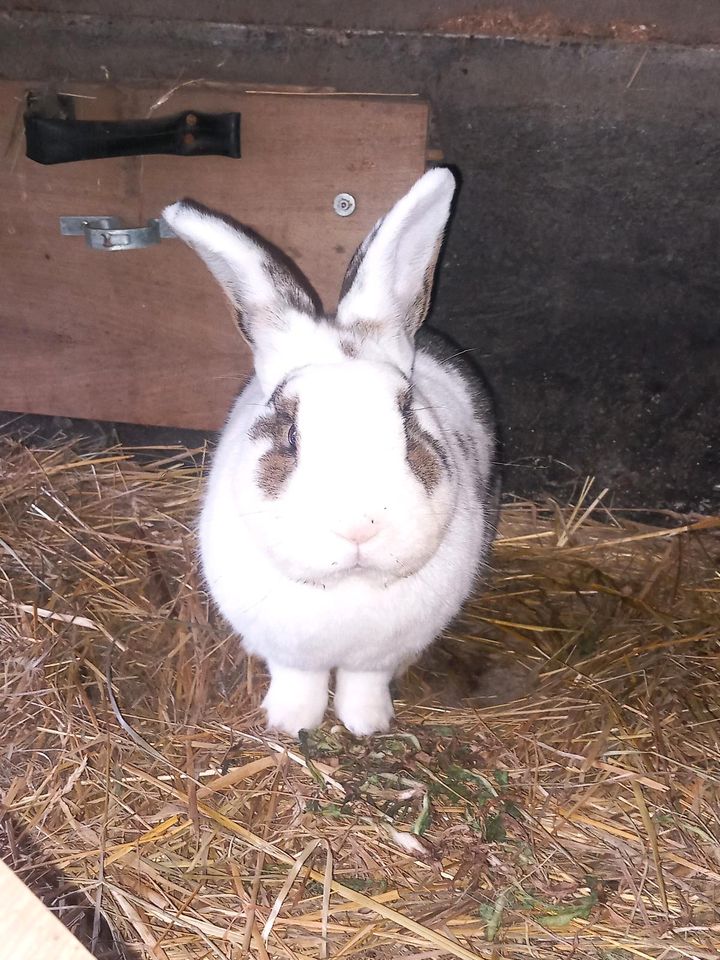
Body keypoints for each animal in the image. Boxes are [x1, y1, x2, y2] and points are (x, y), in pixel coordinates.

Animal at [163, 167, 500, 736]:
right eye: (291, 437)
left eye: (407, 422)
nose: (360, 526)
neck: (349, 586)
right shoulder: (291, 653)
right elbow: (298, 680)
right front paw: (288, 723)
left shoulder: (376, 657)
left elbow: (364, 684)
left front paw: (369, 725)